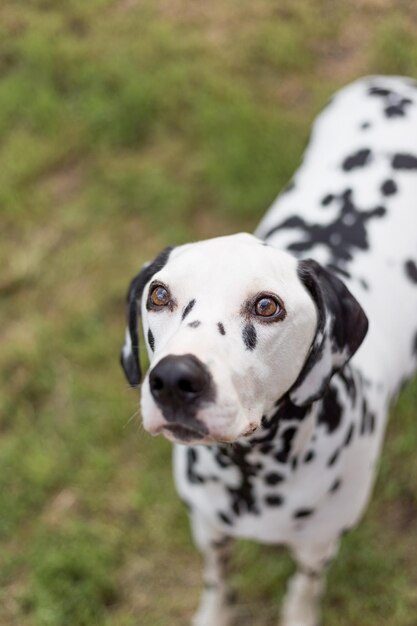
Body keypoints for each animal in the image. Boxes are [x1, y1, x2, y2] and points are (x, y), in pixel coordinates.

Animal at [119, 75, 416, 620]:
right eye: (159, 295)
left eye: (266, 306)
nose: (173, 380)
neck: (250, 472)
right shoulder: (208, 528)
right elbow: (216, 581)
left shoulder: (319, 548)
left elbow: (303, 592)